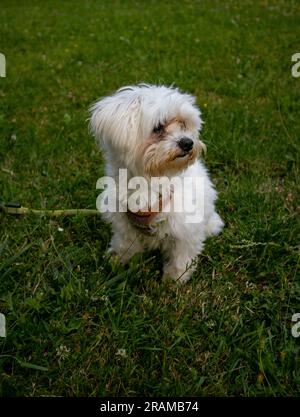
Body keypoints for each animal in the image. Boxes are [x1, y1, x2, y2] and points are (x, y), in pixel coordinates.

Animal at [89, 84, 223, 282]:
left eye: (183, 124)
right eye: (158, 127)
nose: (188, 142)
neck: (150, 179)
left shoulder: (185, 230)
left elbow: (180, 258)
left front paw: (173, 280)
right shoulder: (123, 226)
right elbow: (125, 244)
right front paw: (117, 260)